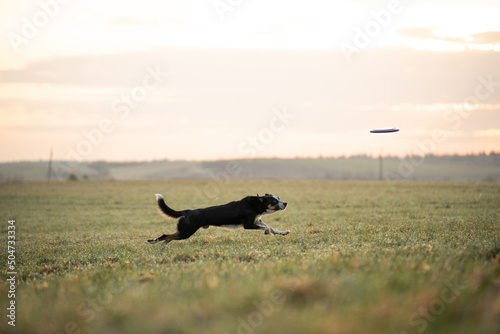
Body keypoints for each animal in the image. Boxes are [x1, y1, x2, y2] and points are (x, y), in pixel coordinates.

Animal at [147, 192, 290, 244]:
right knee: (166, 235)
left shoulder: (257, 220)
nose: (286, 203)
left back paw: (162, 245)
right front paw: (267, 232)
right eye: (274, 201)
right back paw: (153, 241)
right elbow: (267, 227)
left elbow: (271, 227)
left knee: (169, 237)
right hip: (186, 232)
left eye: (279, 198)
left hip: (183, 231)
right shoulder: (248, 225)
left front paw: (283, 232)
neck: (255, 205)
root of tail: (188, 211)